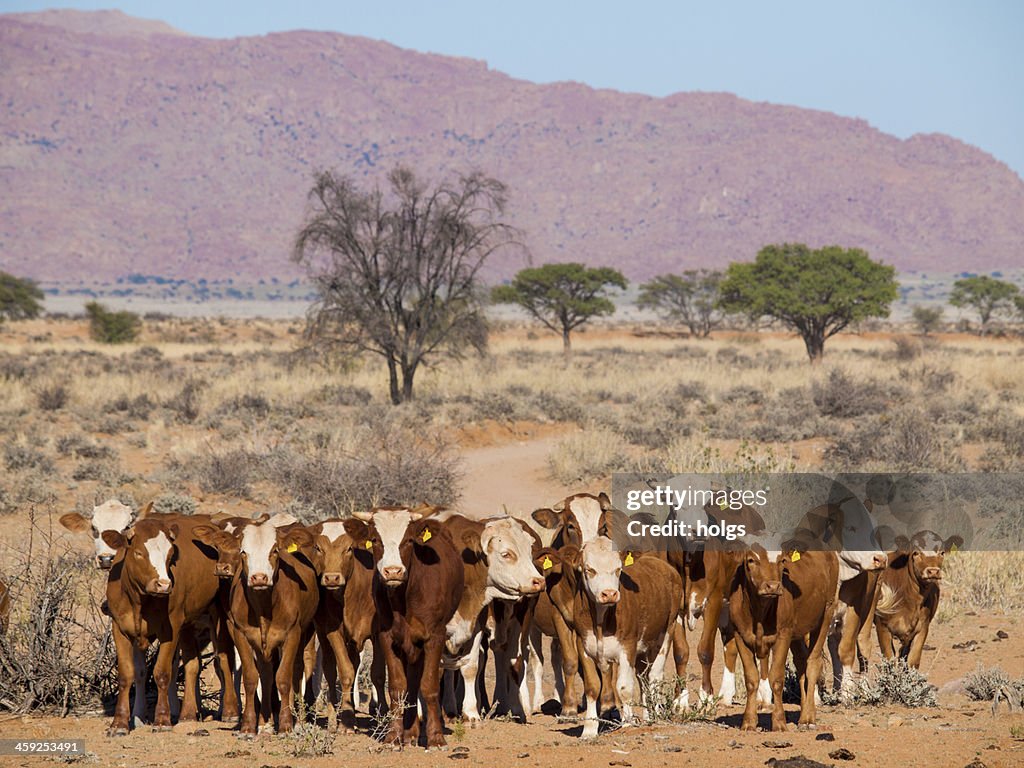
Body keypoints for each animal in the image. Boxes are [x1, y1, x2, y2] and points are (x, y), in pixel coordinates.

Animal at [350, 506, 464, 748]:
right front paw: (394, 736)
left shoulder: (435, 637)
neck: (405, 597)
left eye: (409, 540)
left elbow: (429, 686)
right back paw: (410, 733)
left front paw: (436, 737)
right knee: (411, 683)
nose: (393, 571)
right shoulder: (388, 638)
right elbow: (398, 687)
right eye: (375, 539)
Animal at [728, 538, 838, 732]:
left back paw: (808, 719)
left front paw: (779, 722)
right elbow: (751, 679)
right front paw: (748, 722)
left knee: (813, 662)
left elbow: (777, 679)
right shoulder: (740, 635)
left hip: (826, 613)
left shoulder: (783, 636)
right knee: (801, 663)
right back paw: (805, 714)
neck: (759, 612)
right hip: (797, 632)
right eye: (751, 560)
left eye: (782, 560)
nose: (773, 586)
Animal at [874, 530, 963, 669]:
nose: (933, 571)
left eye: (942, 552)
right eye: (916, 552)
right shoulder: (882, 626)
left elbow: (913, 661)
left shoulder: (922, 628)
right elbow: (889, 660)